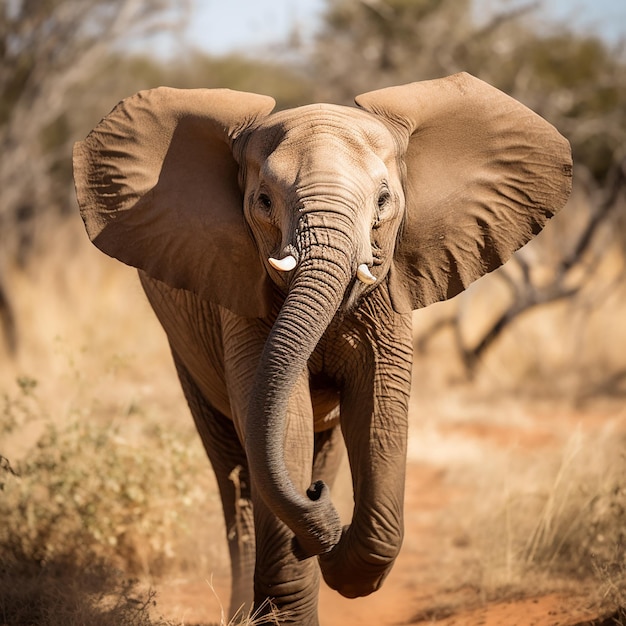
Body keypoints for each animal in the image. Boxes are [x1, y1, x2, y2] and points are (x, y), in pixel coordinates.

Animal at [73, 74, 572, 624]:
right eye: (264, 201)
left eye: (383, 201)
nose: (317, 500)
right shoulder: (240, 293)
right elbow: (284, 418)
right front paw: (315, 554)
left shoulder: (390, 291)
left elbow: (377, 412)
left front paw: (334, 548)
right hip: (185, 347)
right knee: (234, 469)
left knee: (318, 447)